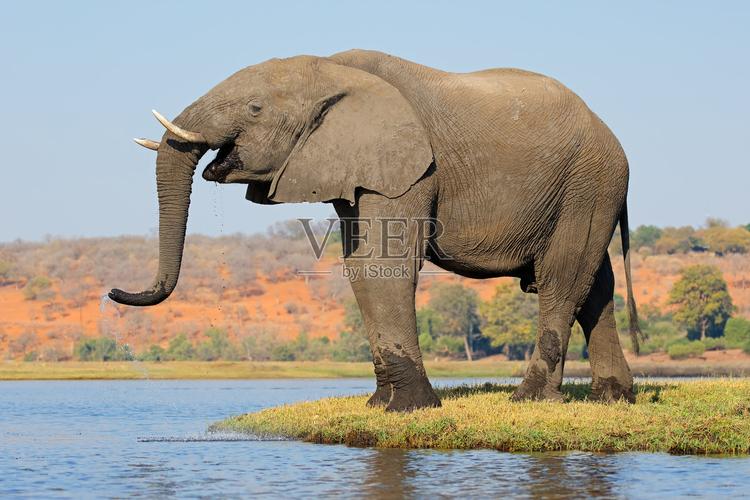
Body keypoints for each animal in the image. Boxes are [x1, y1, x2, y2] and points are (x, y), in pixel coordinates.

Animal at [110, 49, 641, 411]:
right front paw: (379, 406)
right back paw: (615, 398)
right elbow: (359, 267)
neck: (332, 69)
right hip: (588, 187)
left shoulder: (410, 165)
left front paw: (410, 409)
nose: (115, 293)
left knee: (562, 278)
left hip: (590, 181)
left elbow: (386, 265)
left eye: (256, 108)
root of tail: (611, 135)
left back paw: (530, 400)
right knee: (596, 284)